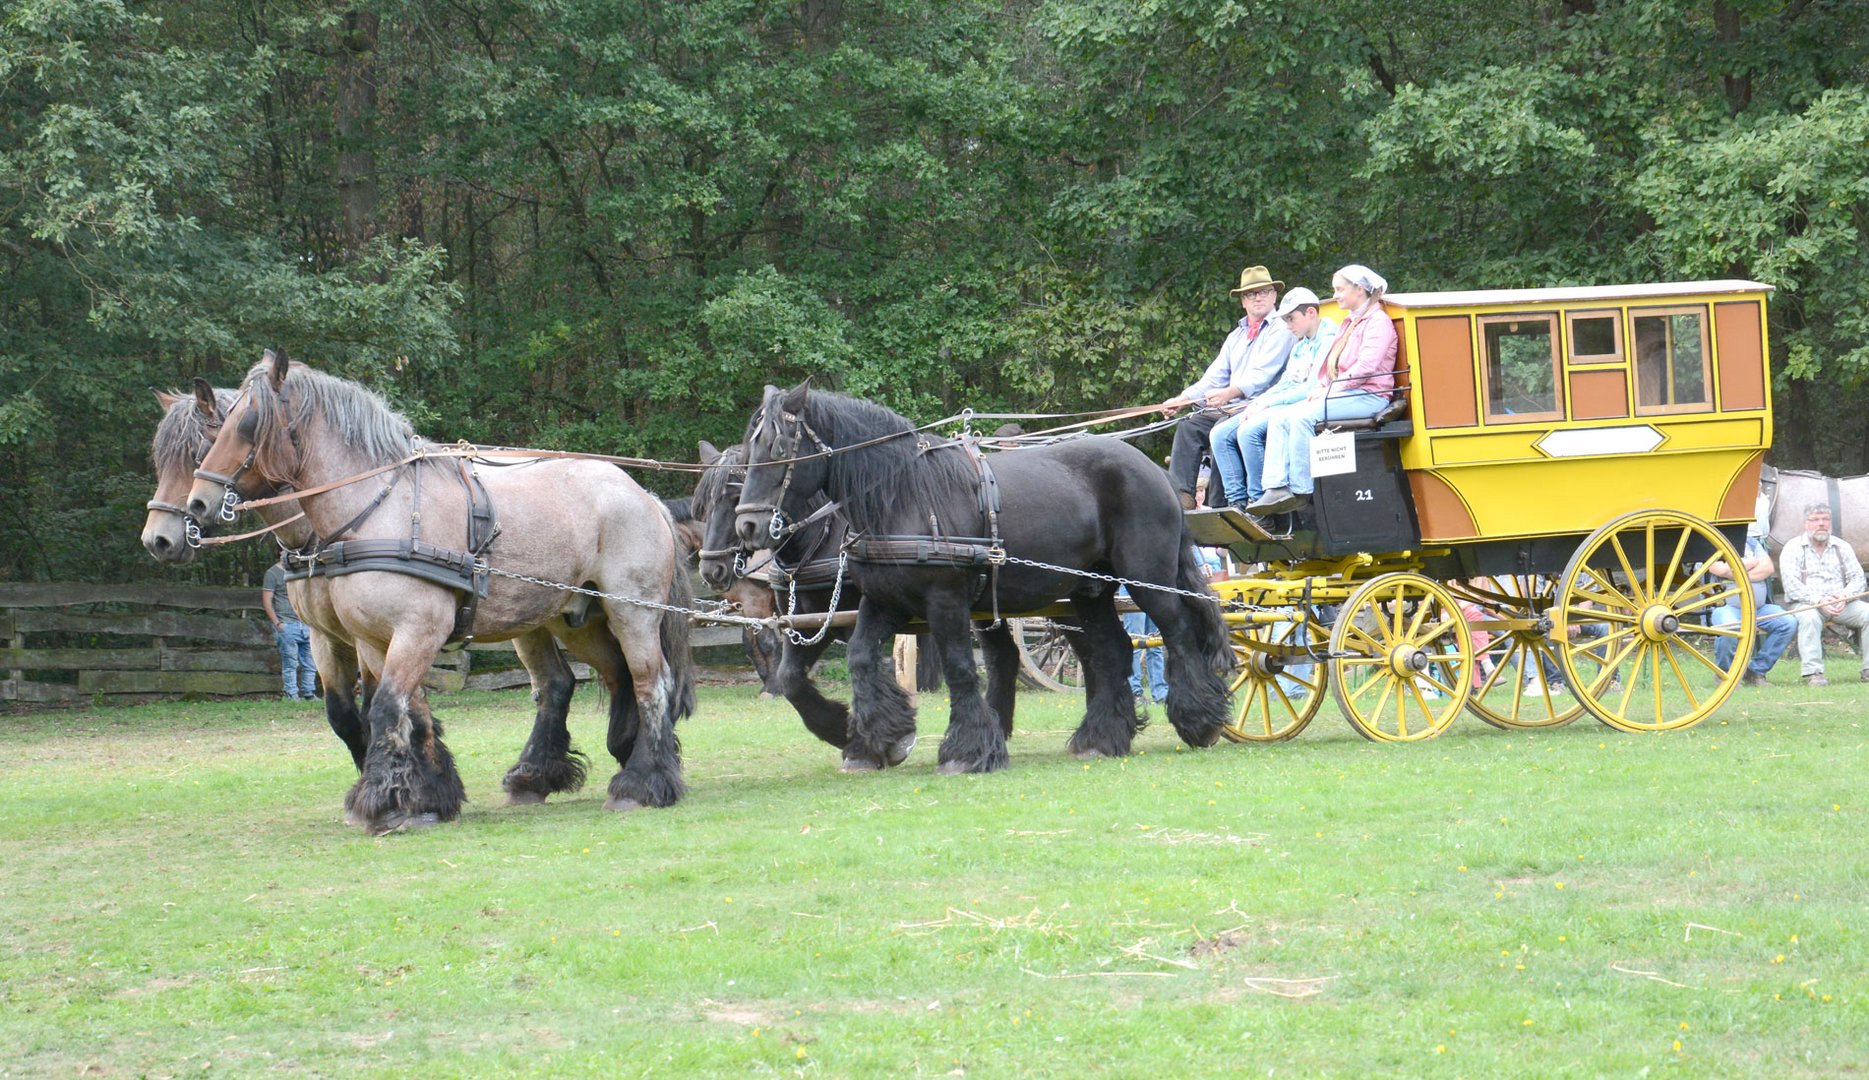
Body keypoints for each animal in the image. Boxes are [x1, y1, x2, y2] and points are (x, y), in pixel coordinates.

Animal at [732, 383, 1241, 769]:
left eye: (778, 449)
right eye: (748, 451)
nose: (748, 526)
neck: (905, 496)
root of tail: (1155, 471)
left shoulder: (945, 599)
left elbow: (959, 668)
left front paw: (965, 751)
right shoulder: (884, 600)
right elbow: (858, 657)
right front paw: (877, 738)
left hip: (1148, 577)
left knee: (1177, 632)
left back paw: (1199, 719)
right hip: (1088, 591)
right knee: (1112, 650)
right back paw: (1101, 738)